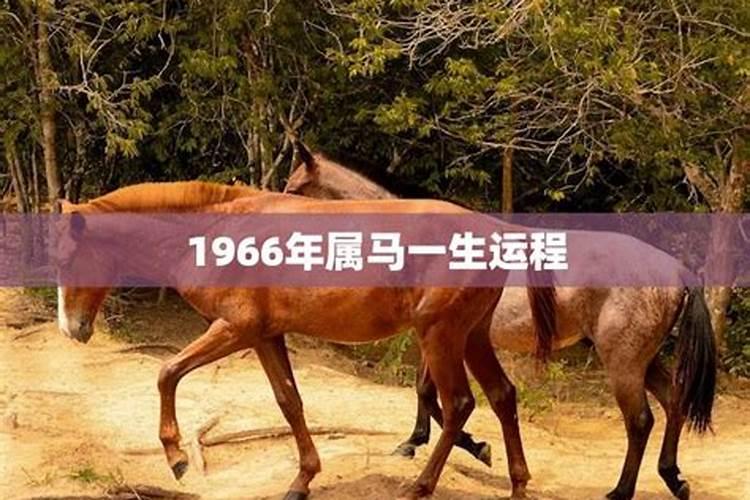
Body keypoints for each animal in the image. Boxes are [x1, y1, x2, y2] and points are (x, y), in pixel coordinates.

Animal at [56, 181, 558, 500]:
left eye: (69, 258)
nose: (72, 329)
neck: (218, 230)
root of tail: (496, 231)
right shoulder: (265, 337)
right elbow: (289, 401)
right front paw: (302, 480)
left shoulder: (233, 330)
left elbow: (167, 372)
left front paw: (177, 457)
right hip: (471, 336)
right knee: (502, 396)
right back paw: (517, 482)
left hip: (441, 336)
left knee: (458, 405)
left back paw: (420, 485)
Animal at [283, 142, 717, 500]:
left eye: (294, 189)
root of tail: (676, 269)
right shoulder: (441, 338)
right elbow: (427, 393)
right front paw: (426, 442)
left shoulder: (441, 337)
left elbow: (432, 396)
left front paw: (468, 446)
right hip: (642, 359)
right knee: (673, 401)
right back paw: (673, 478)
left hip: (622, 362)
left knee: (640, 420)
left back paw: (621, 491)